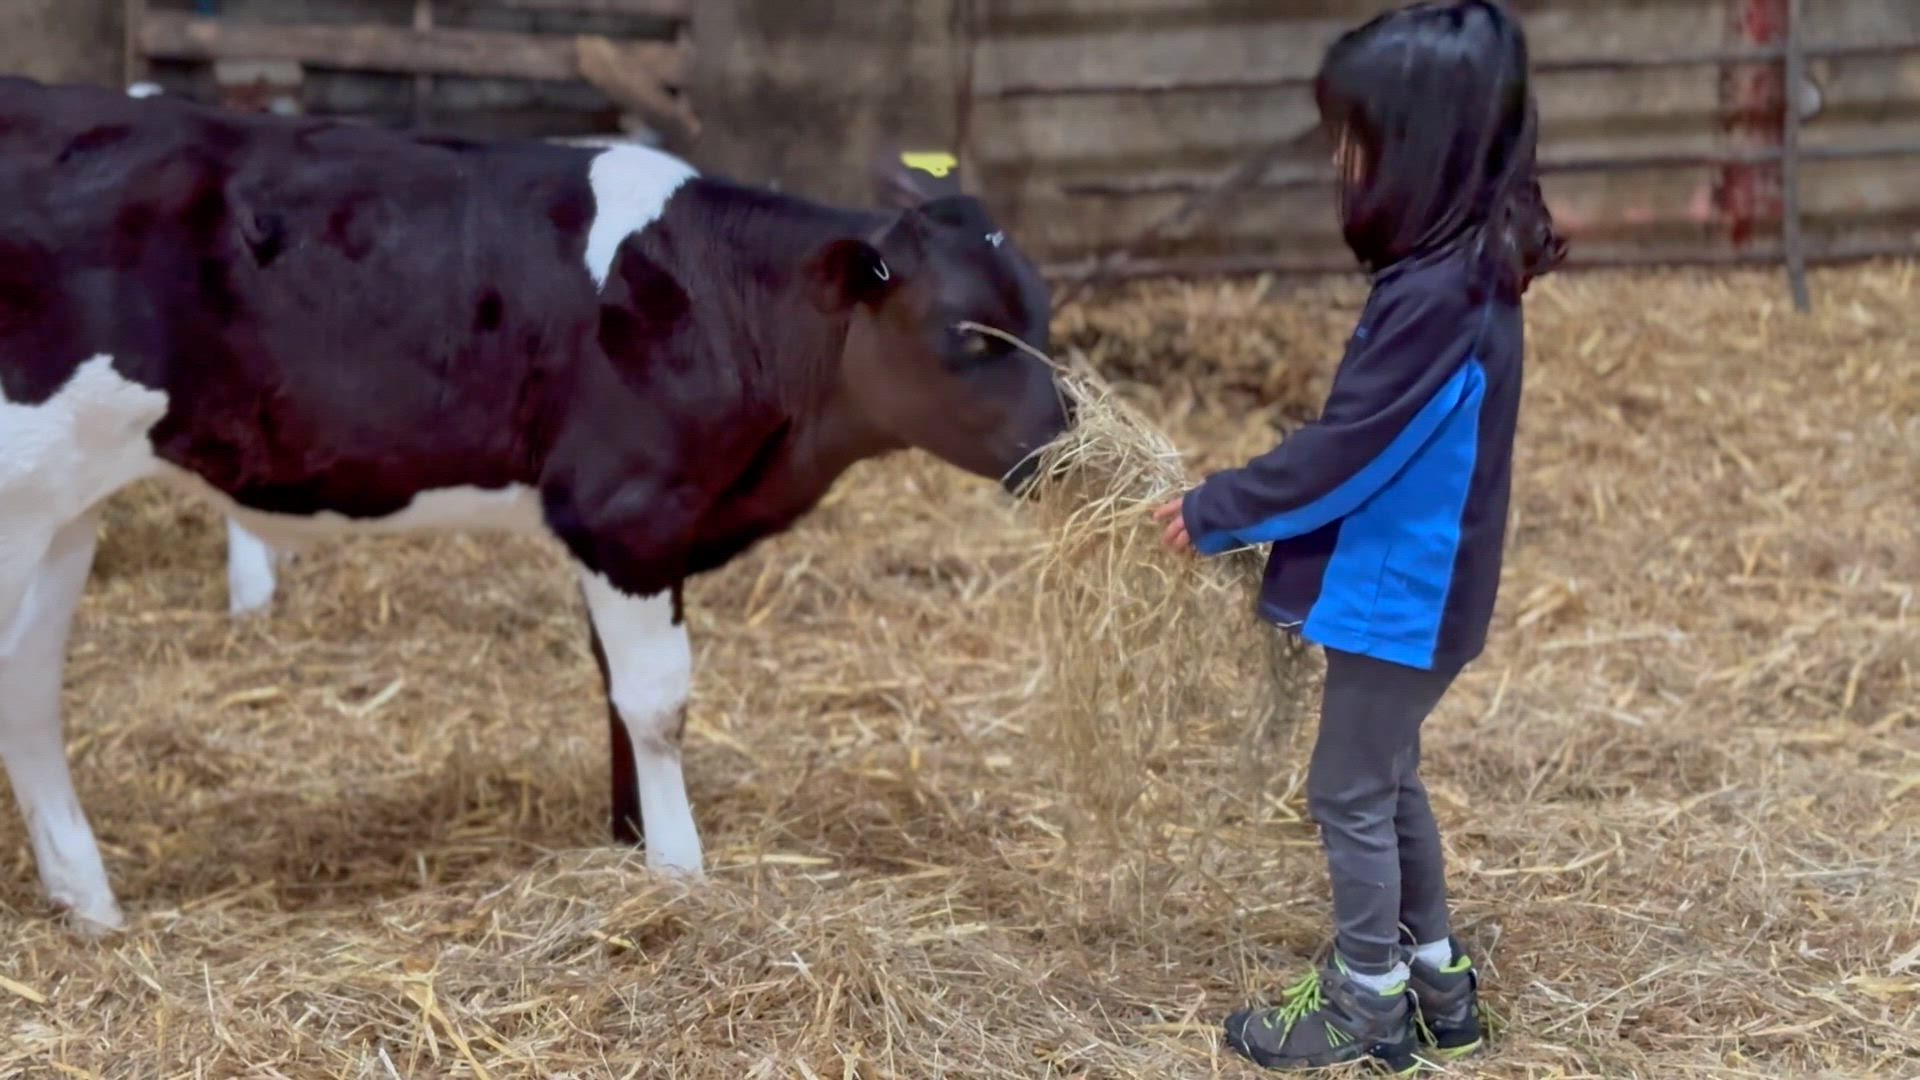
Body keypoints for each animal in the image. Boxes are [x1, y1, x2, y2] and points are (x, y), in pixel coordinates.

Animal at [0, 79, 1067, 930]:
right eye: (967, 335)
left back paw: (90, 904)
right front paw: (681, 875)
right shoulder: (624, 513)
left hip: (65, 504)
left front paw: (630, 845)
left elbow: (614, 695)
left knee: (29, 681)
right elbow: (657, 703)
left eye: (1044, 313)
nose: (1068, 448)